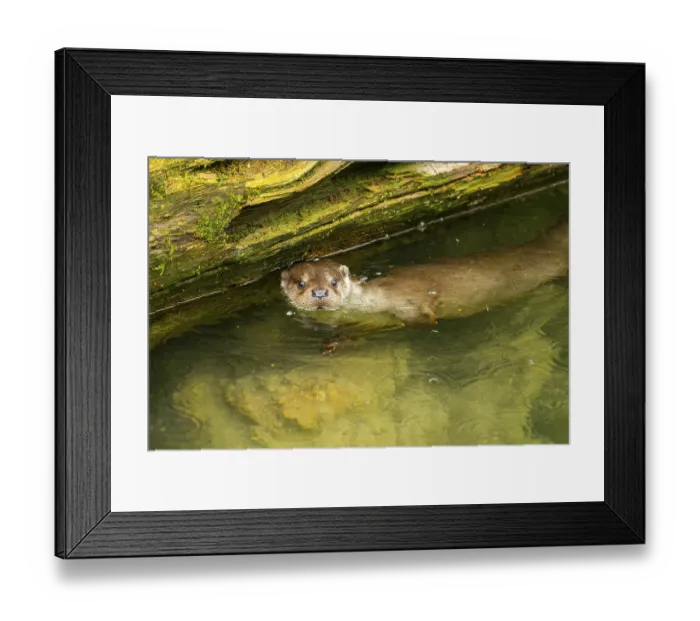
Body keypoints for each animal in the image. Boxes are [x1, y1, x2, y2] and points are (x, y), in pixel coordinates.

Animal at [281, 221, 569, 327]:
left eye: (334, 281)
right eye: (300, 283)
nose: (320, 292)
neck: (371, 305)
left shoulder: (405, 300)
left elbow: (420, 308)